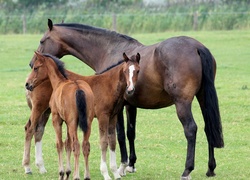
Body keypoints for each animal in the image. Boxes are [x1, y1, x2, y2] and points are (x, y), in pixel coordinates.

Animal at [24, 51, 141, 179]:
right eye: (125, 71)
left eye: (138, 71)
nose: (28, 83)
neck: (109, 85)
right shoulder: (102, 117)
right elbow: (103, 142)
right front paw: (106, 173)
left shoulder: (112, 117)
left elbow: (112, 142)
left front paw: (115, 172)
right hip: (39, 109)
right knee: (29, 129)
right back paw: (27, 167)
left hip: (47, 112)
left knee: (39, 131)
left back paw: (41, 167)